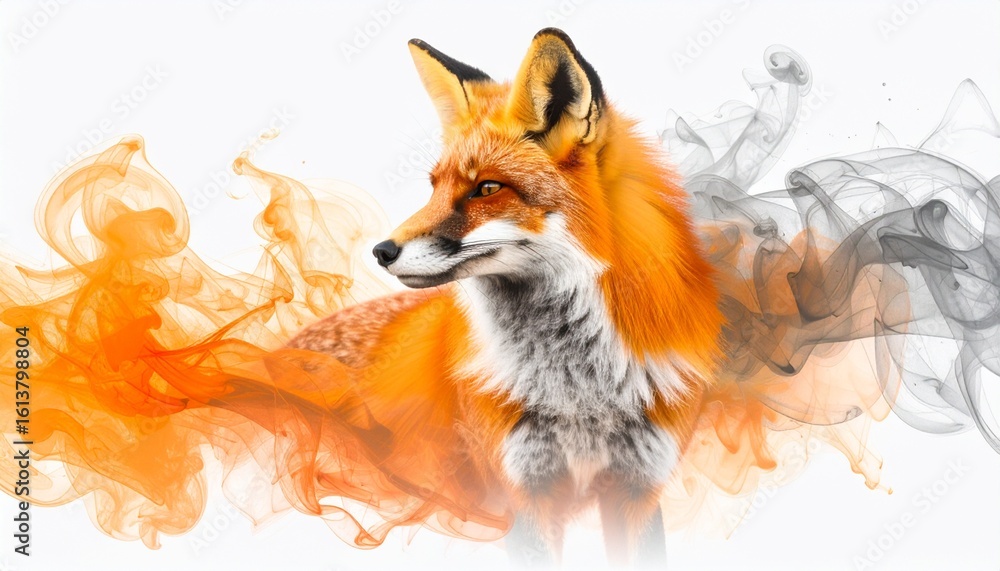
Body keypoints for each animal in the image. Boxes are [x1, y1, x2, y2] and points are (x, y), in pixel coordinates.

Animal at [287, 28, 724, 567]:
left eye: (487, 188)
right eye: (434, 186)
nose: (381, 251)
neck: (578, 393)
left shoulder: (637, 488)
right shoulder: (520, 492)